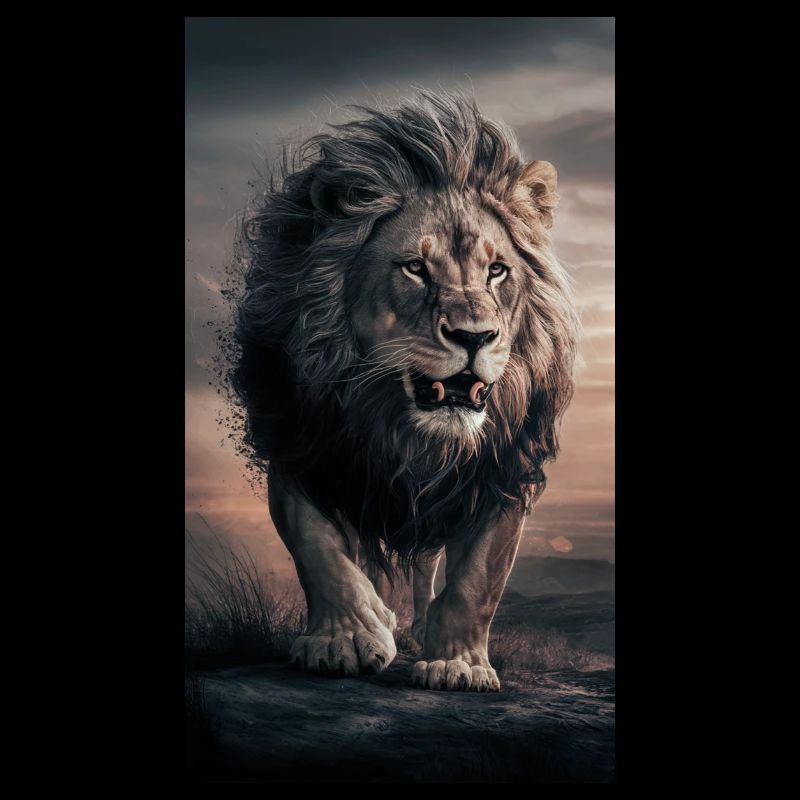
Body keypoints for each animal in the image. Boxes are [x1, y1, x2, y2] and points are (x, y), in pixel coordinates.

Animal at [232, 91, 578, 692]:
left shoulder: (505, 469)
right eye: (415, 268)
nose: (474, 337)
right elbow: (318, 547)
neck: (410, 433)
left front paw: (458, 664)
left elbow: (477, 578)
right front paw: (345, 638)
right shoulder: (301, 440)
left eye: (496, 271)